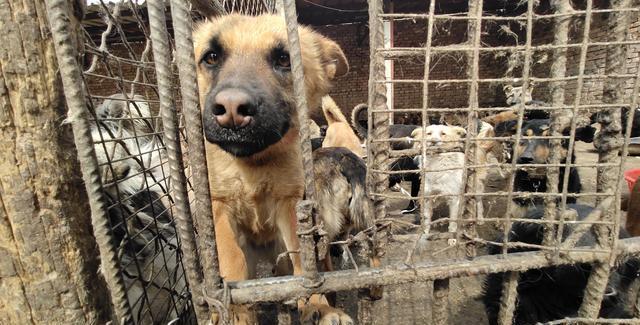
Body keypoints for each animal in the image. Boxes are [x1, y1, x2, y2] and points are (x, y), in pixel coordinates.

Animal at [194, 13, 356, 322]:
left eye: (284, 59)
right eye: (211, 57)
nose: (231, 109)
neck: (252, 164)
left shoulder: (289, 206)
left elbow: (303, 262)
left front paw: (317, 304)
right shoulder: (219, 208)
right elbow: (231, 260)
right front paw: (234, 311)